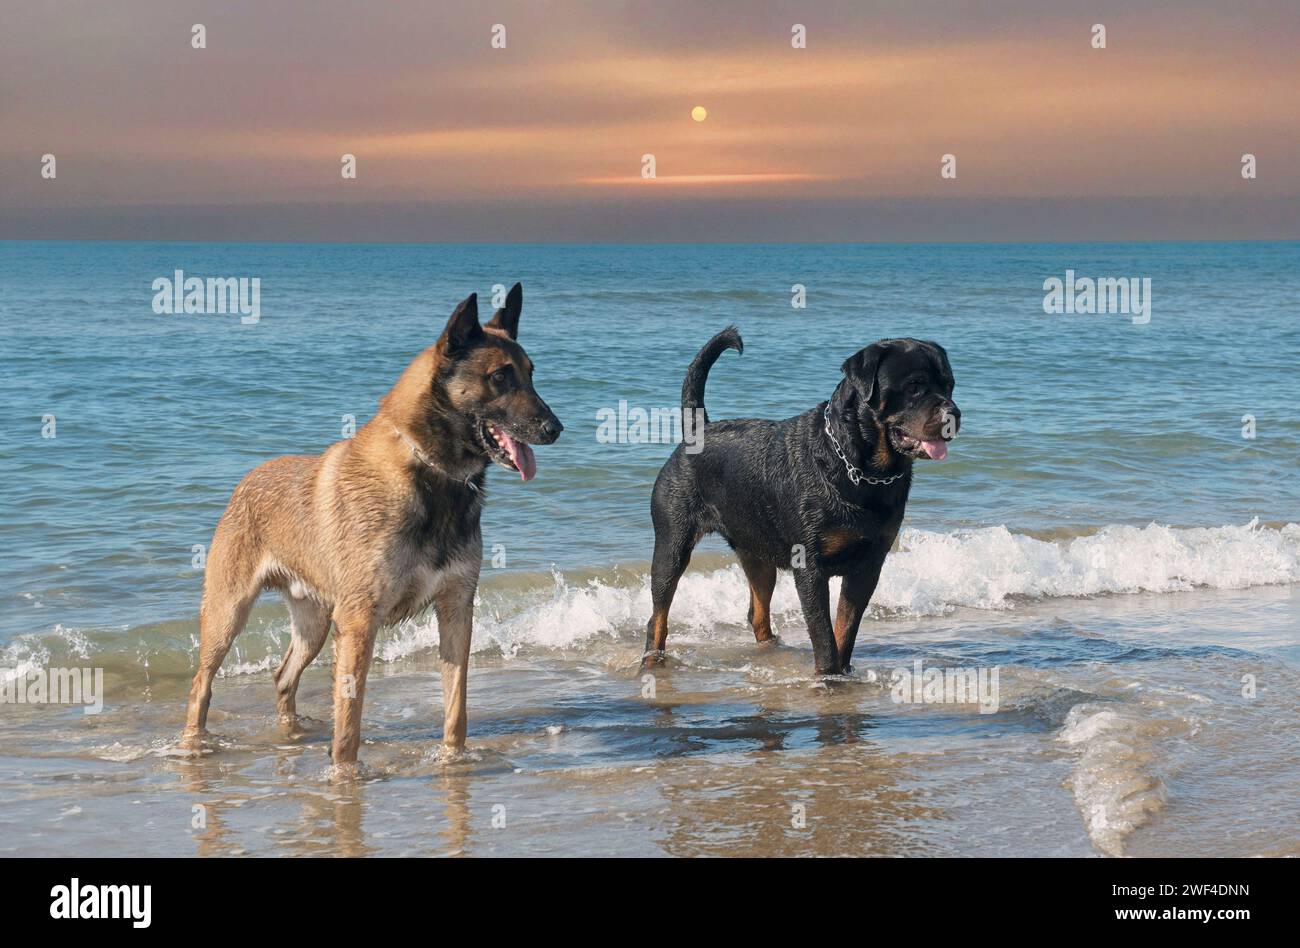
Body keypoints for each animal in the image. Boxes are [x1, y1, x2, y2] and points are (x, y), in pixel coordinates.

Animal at [182, 284, 559, 764]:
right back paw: (193, 744)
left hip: (315, 625)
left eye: (530, 374)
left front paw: (453, 760)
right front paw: (344, 774)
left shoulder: (455, 610)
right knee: (201, 685)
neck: (429, 471)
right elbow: (348, 723)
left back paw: (291, 733)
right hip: (227, 614)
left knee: (284, 677)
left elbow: (456, 709)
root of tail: (247, 480)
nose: (555, 428)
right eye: (499, 377)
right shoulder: (359, 622)